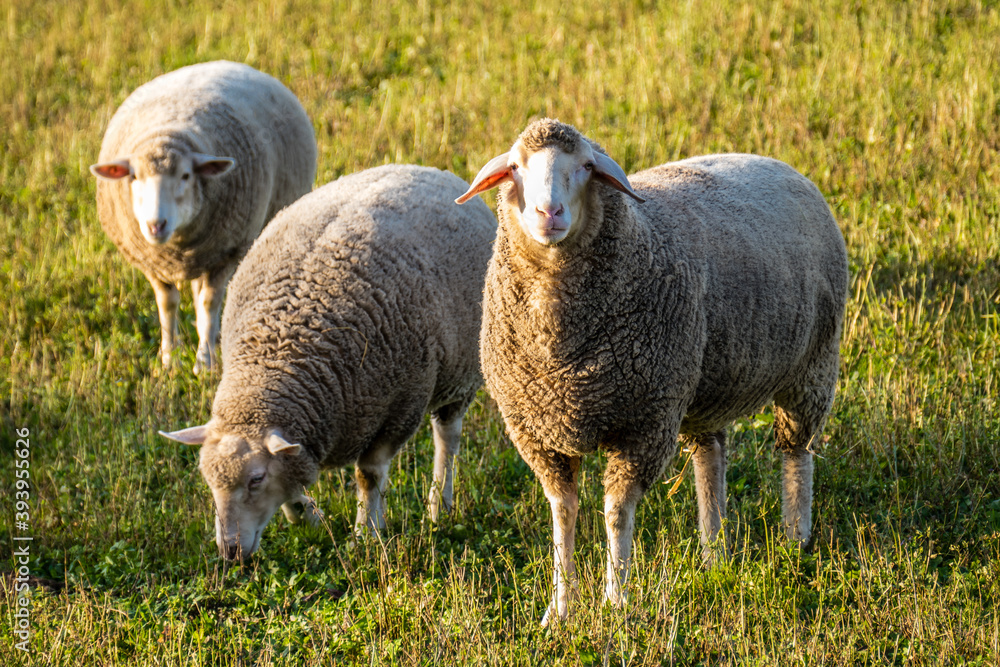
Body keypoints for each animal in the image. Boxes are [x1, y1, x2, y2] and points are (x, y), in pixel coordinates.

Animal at [90, 60, 317, 373]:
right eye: (134, 177)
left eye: (186, 175)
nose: (155, 225)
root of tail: (228, 62)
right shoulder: (151, 262)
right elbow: (167, 305)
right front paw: (169, 361)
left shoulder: (229, 251)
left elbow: (210, 303)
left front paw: (205, 363)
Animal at [160, 164, 497, 560]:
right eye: (208, 479)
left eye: (256, 479)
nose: (229, 552)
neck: (276, 360)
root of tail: (425, 169)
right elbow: (292, 478)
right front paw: (308, 517)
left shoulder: (399, 406)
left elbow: (368, 476)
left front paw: (366, 534)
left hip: (460, 376)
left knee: (448, 440)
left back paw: (439, 505)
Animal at [456, 118, 849, 624]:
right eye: (516, 168)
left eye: (587, 167)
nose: (548, 212)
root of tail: (779, 164)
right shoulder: (540, 433)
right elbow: (562, 513)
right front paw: (560, 610)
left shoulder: (643, 423)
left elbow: (616, 513)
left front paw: (616, 600)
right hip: (702, 388)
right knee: (709, 458)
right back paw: (714, 554)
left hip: (813, 364)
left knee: (797, 454)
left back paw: (795, 540)